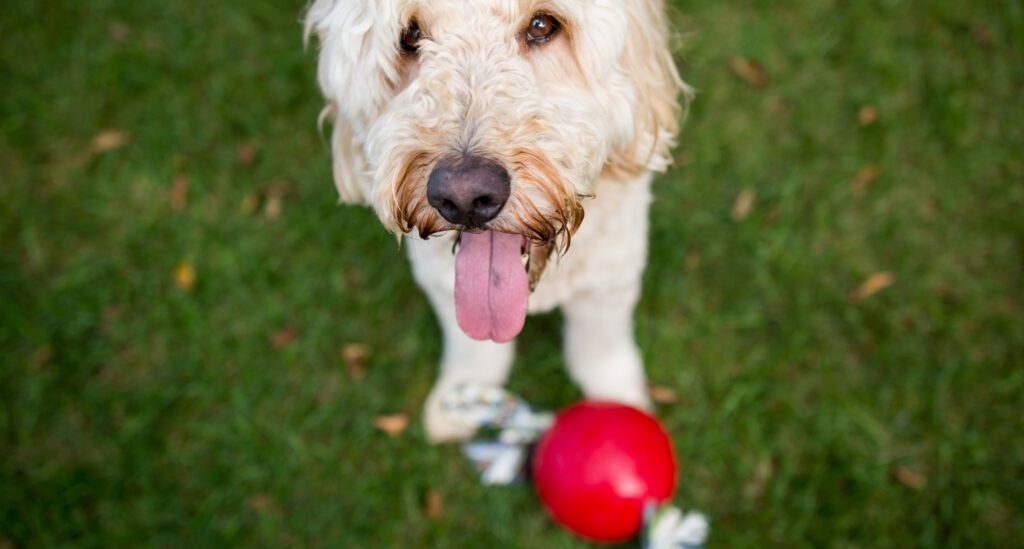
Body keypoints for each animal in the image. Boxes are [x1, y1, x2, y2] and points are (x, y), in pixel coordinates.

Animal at [301, 0, 688, 440]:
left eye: (542, 25)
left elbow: (600, 348)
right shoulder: (442, 283)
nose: (465, 197)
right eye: (410, 36)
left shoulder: (610, 279)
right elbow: (474, 350)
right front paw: (460, 399)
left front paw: (619, 403)